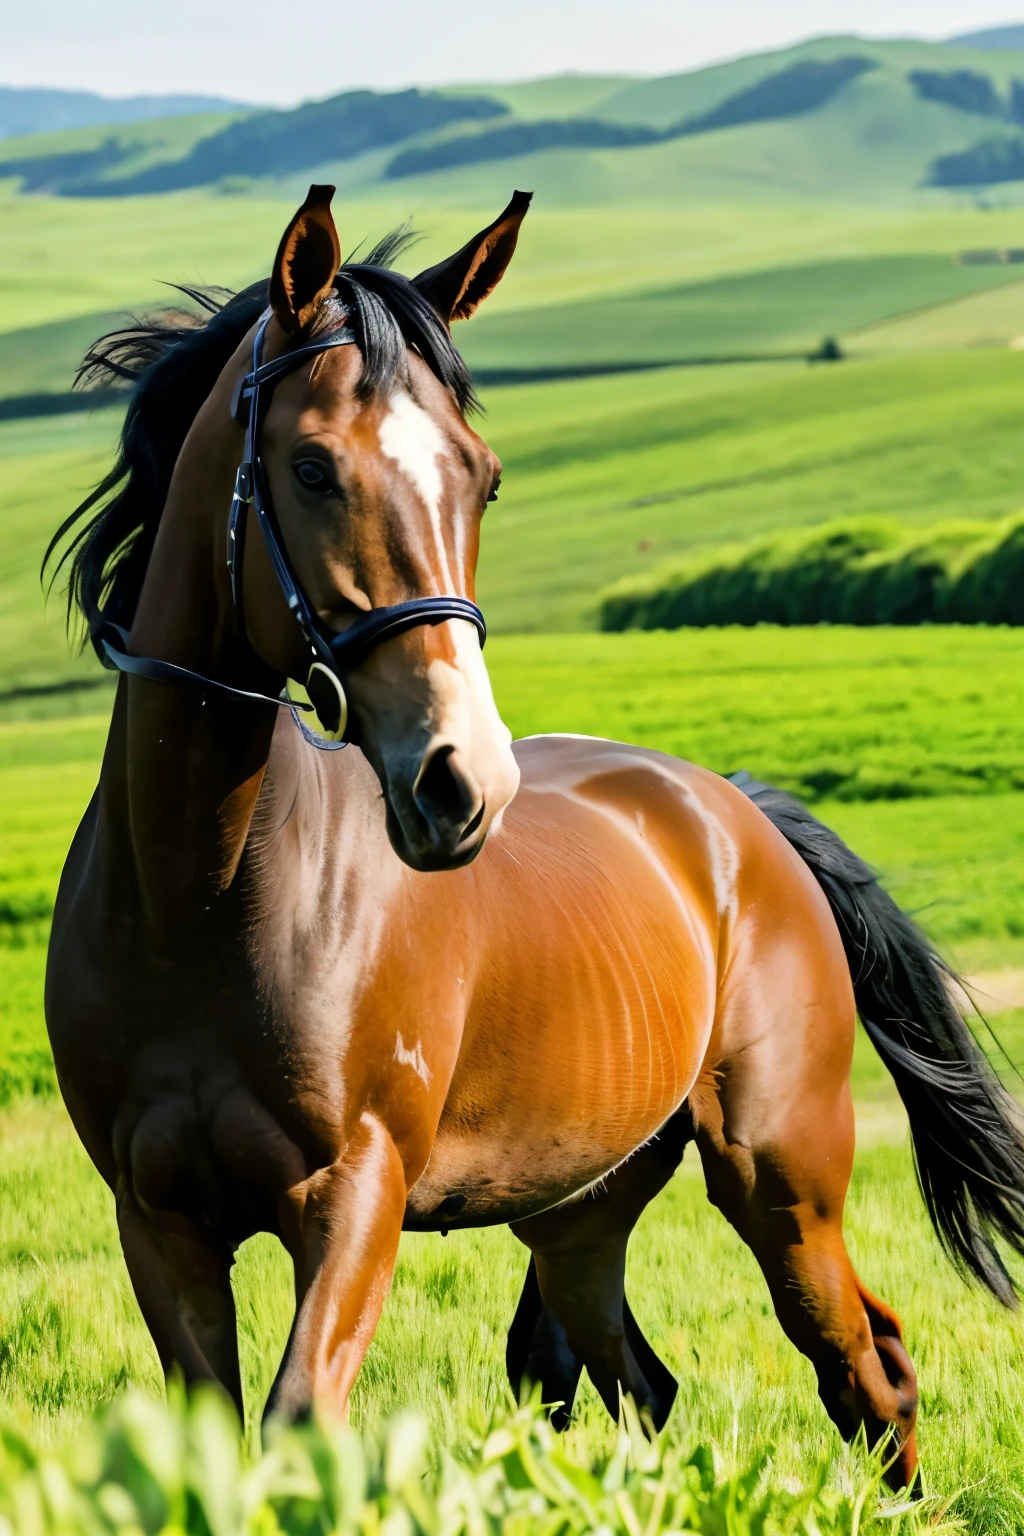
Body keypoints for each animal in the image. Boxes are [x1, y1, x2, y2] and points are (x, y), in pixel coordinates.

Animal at [44, 182, 1024, 1486]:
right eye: (309, 467)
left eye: (485, 478)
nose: (463, 782)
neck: (198, 896)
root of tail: (735, 813)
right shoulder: (159, 1223)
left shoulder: (352, 1196)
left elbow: (303, 1421)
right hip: (581, 1208)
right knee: (637, 1378)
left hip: (781, 1179)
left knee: (867, 1367)